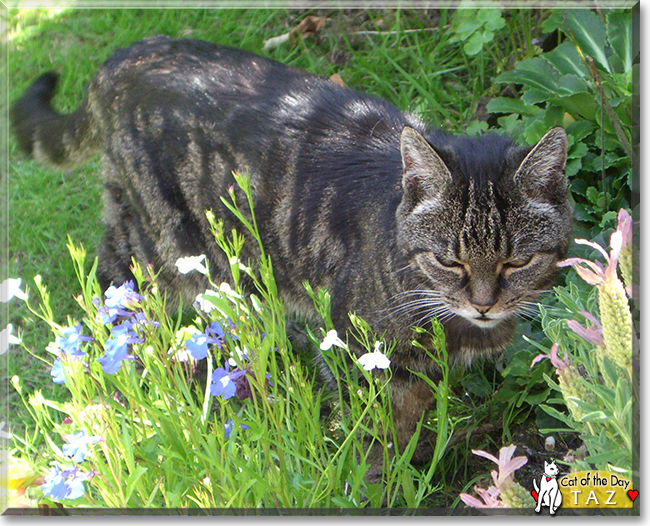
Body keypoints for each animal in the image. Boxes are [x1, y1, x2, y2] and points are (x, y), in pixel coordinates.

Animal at [11, 36, 572, 478]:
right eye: (451, 261)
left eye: (515, 263)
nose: (483, 303)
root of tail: (128, 53)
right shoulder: (357, 350)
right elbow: (376, 433)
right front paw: (382, 480)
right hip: (156, 248)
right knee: (107, 298)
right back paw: (123, 375)